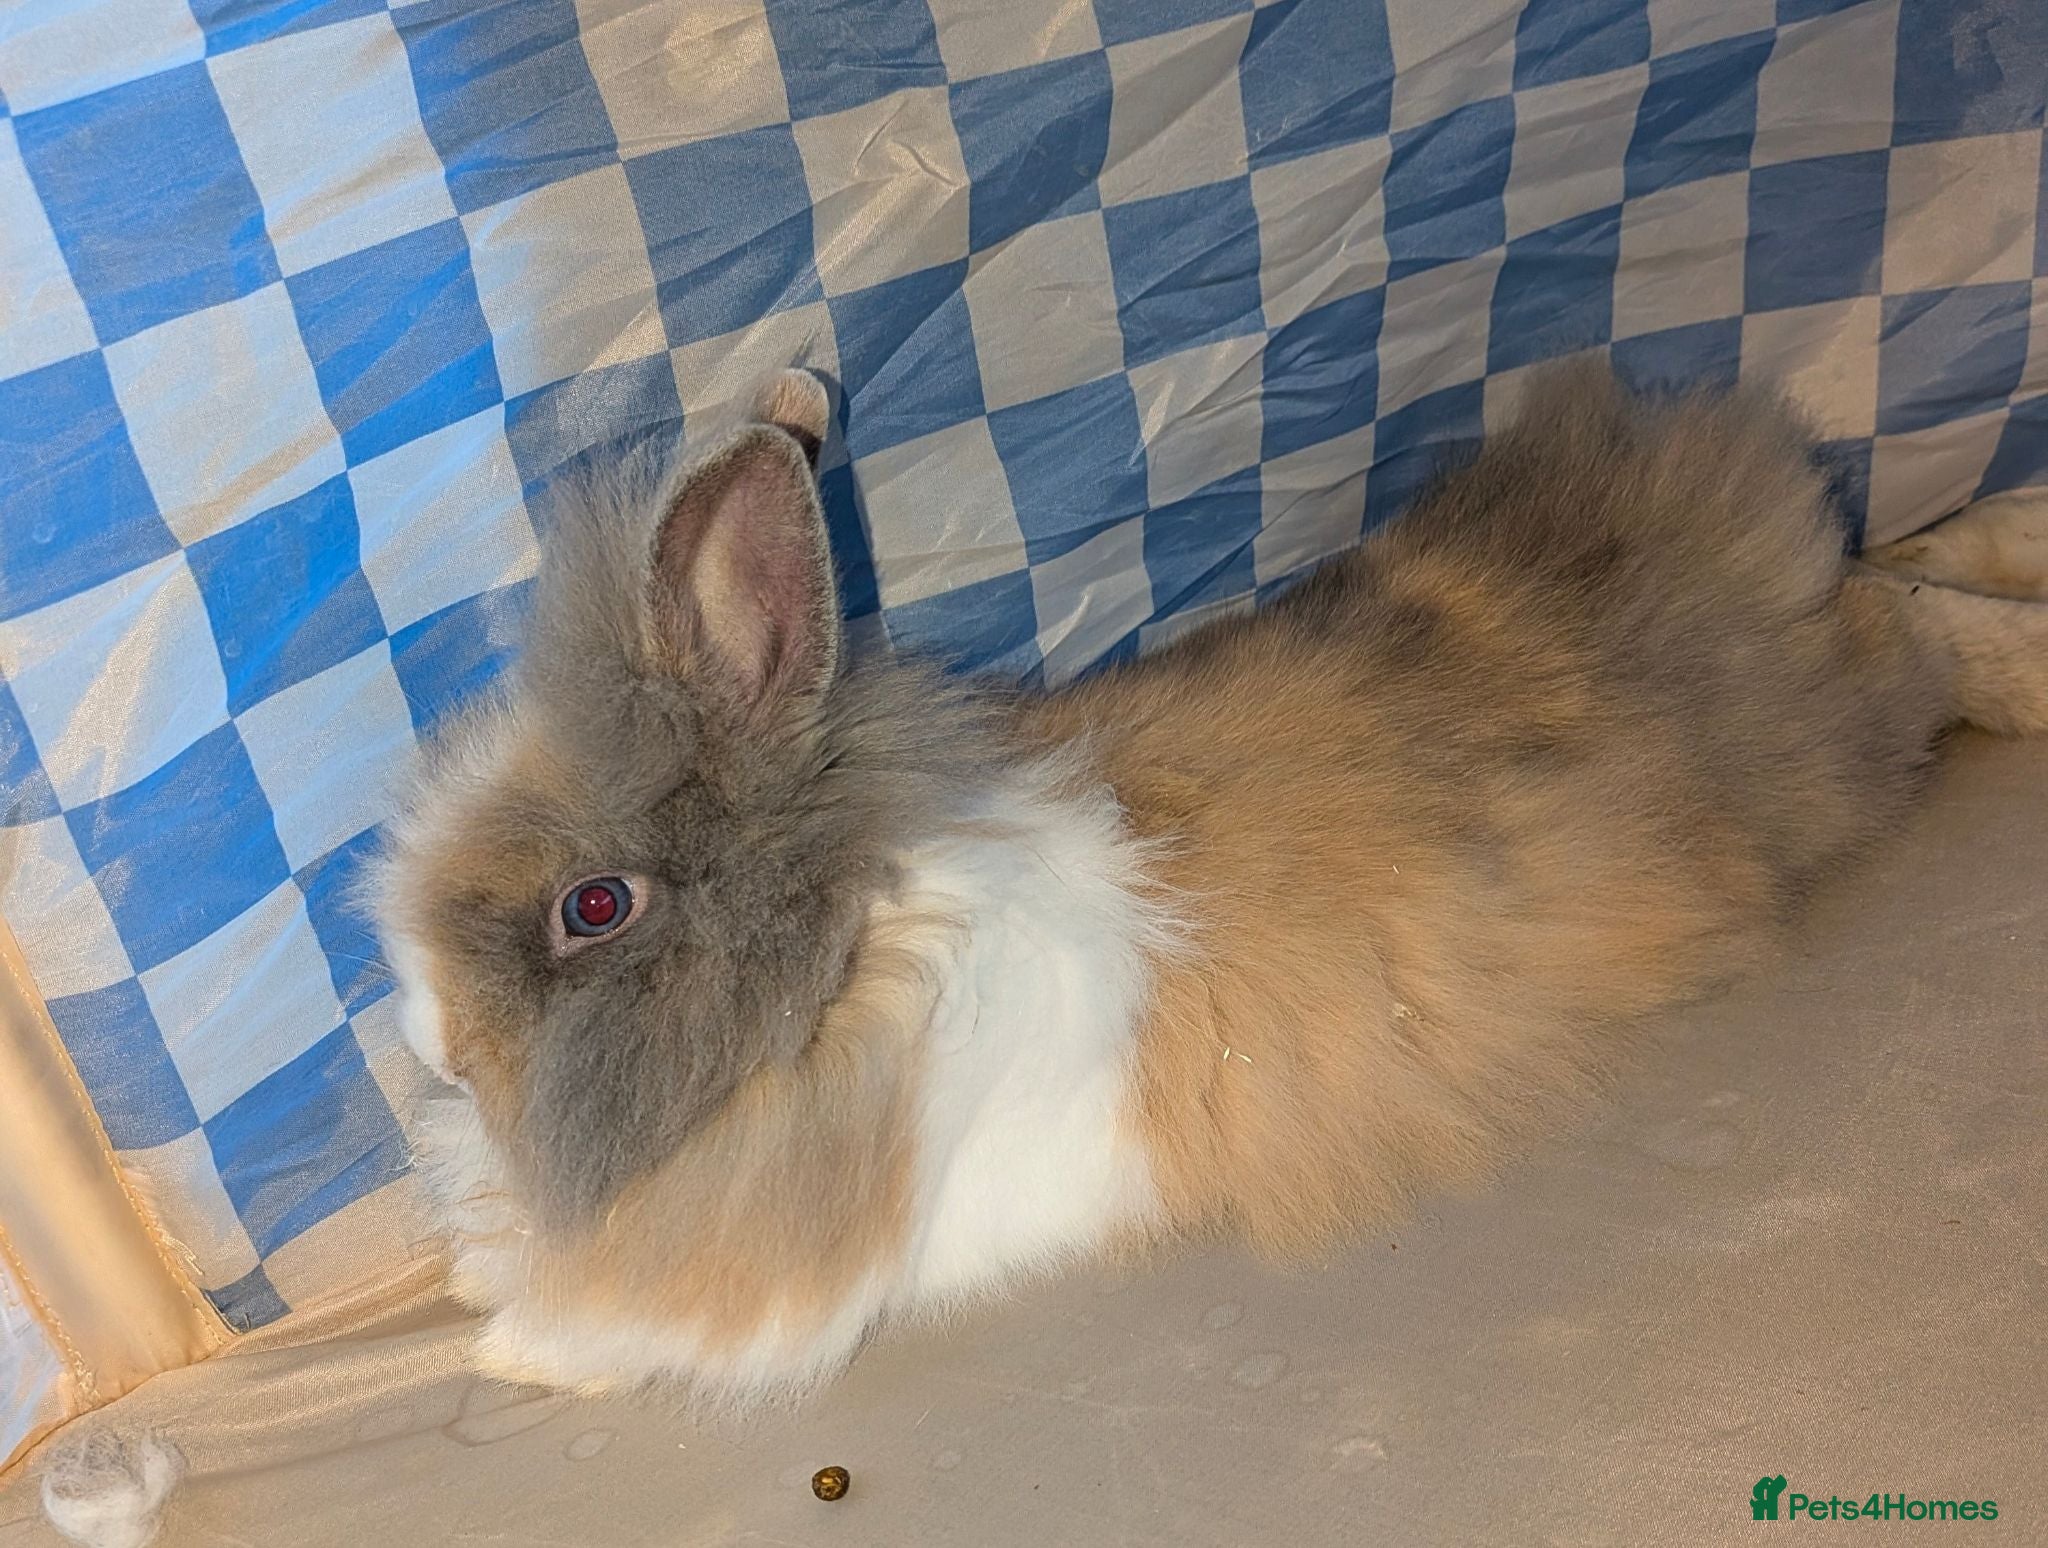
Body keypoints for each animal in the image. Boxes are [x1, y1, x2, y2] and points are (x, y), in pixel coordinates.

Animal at [369, 360, 2048, 1408]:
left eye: (593, 909)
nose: (430, 1051)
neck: (844, 970)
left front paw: (509, 1356)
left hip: (1847, 724)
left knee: (1916, 619)